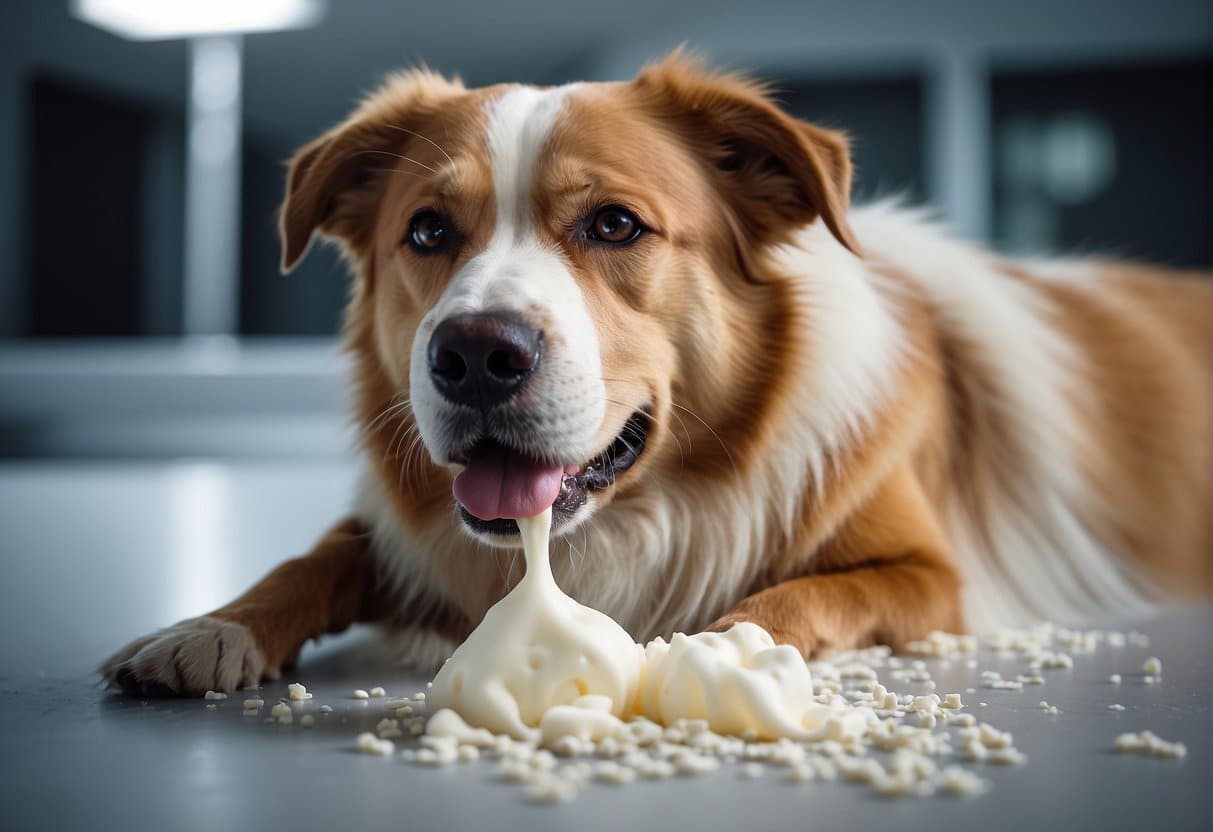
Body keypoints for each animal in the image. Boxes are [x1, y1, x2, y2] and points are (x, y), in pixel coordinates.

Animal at [104, 55, 1213, 698]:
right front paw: (209, 626)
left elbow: (798, 593)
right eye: (425, 231)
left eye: (613, 225)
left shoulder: (931, 577)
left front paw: (722, 648)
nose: (474, 355)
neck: (648, 511)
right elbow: (315, 558)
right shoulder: (405, 528)